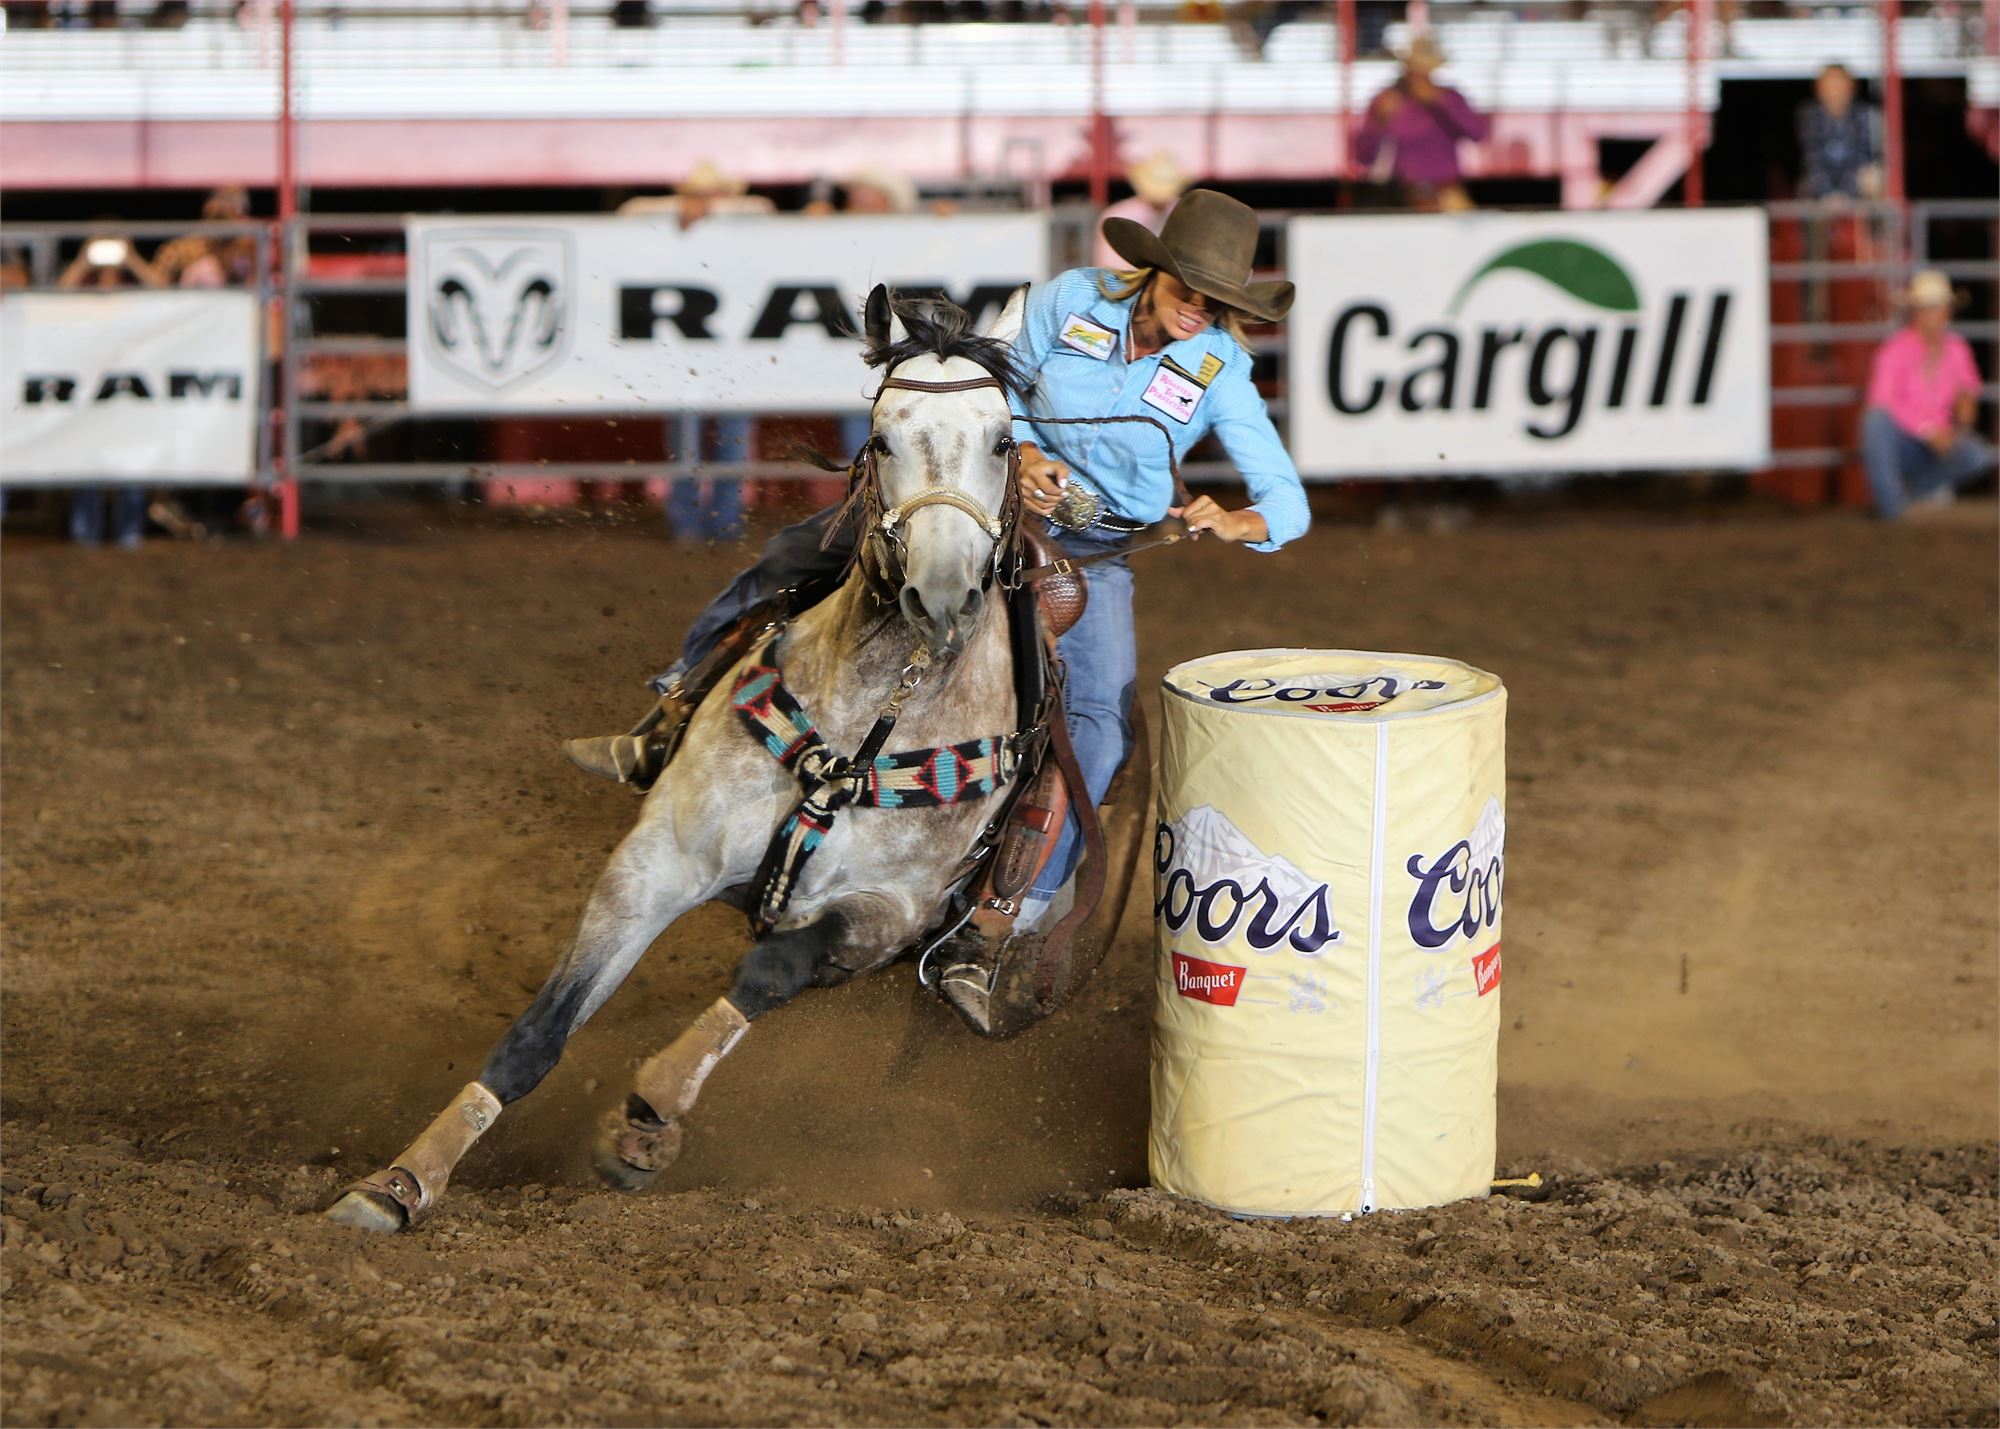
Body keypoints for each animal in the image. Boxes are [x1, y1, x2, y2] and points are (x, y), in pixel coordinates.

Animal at [324, 286, 1048, 1224]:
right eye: (883, 437)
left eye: (1002, 440)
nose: (945, 597)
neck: (863, 731)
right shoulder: (655, 863)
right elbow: (539, 1032)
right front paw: (401, 1182)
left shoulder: (889, 912)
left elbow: (771, 966)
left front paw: (648, 1116)